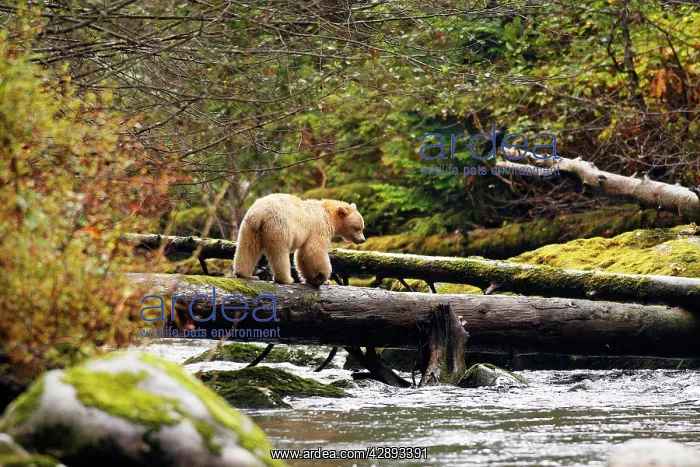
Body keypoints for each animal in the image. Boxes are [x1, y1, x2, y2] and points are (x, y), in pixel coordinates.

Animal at [232, 193, 366, 286]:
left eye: (362, 227)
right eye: (357, 228)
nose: (362, 240)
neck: (328, 212)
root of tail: (259, 213)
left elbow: (302, 255)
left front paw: (312, 279)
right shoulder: (320, 226)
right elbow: (314, 250)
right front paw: (323, 277)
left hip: (250, 227)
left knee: (248, 248)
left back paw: (245, 274)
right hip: (279, 226)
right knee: (279, 252)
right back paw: (286, 279)